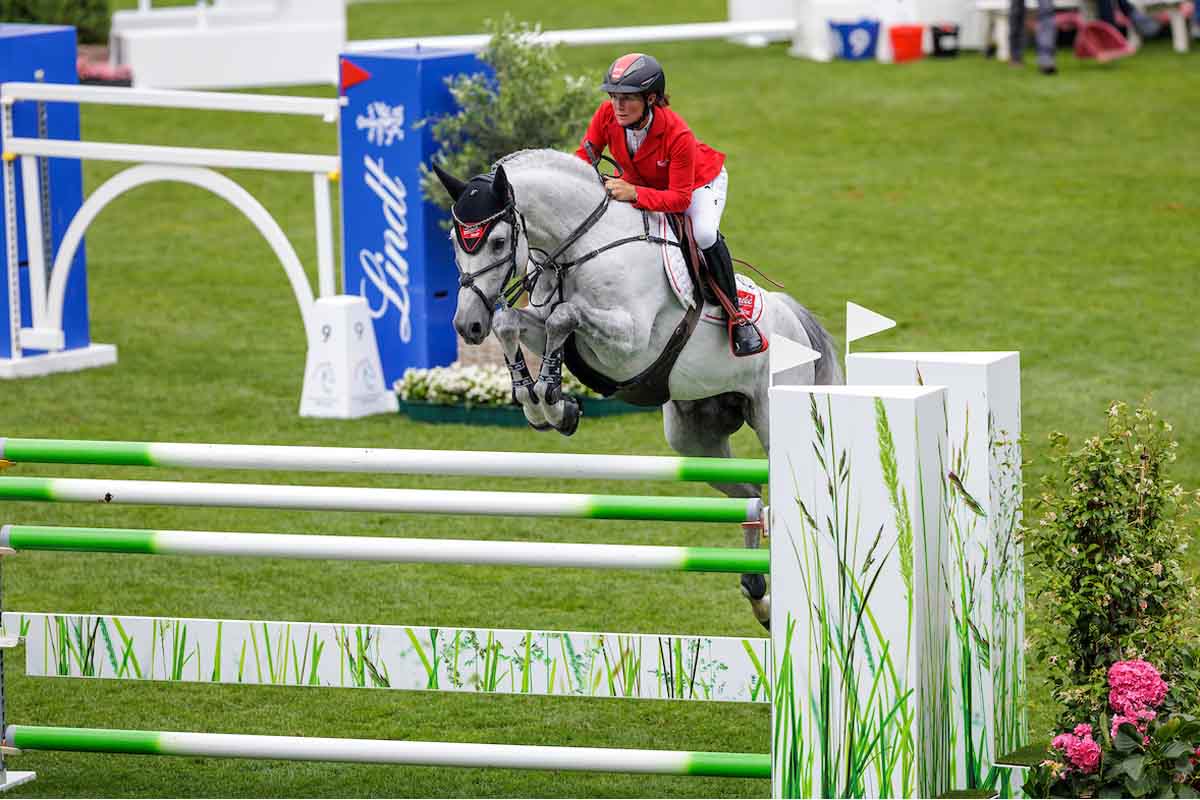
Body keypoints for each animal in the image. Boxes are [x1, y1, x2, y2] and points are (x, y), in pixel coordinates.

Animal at [434, 148, 844, 623]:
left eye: (498, 242)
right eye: (454, 240)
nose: (467, 325)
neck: (582, 249)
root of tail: (794, 319)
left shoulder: (629, 343)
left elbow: (564, 317)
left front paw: (552, 398)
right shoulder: (550, 328)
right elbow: (513, 322)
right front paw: (544, 403)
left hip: (769, 420)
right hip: (695, 440)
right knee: (751, 497)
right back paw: (759, 595)